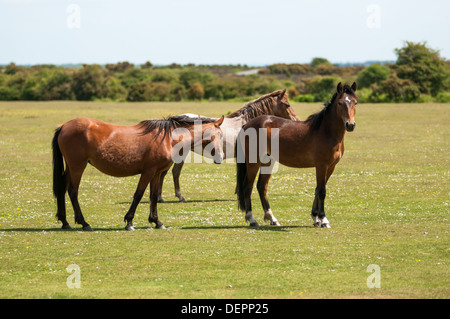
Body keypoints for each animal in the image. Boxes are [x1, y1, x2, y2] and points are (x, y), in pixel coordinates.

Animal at [51, 116, 224, 231]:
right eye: (219, 135)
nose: (221, 158)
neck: (167, 138)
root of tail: (64, 126)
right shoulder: (148, 171)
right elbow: (139, 194)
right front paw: (129, 222)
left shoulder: (156, 173)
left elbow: (153, 196)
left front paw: (156, 221)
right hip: (77, 166)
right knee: (73, 191)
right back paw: (84, 223)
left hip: (71, 167)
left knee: (62, 189)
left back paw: (65, 222)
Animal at [236, 82, 358, 228]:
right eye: (340, 103)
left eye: (355, 103)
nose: (350, 125)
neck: (326, 131)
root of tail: (246, 125)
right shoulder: (321, 166)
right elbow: (322, 191)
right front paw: (323, 219)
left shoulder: (331, 167)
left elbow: (317, 189)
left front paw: (315, 218)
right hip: (253, 163)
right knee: (247, 187)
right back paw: (252, 219)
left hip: (268, 162)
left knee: (261, 186)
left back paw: (272, 218)